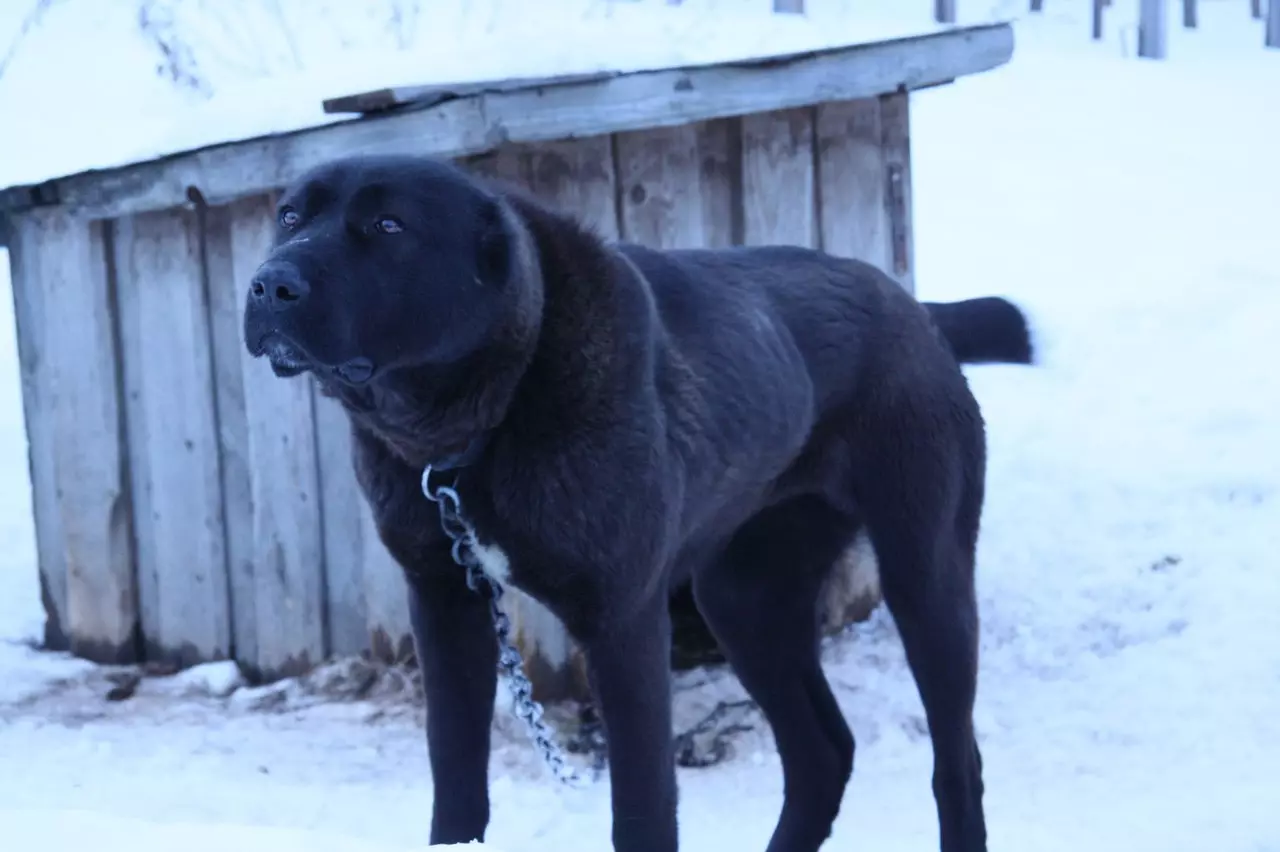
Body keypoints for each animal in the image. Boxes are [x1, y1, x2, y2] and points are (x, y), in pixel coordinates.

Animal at [244, 154, 1034, 849]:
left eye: (388, 226)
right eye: (289, 217)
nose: (268, 285)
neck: (483, 423)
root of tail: (917, 310)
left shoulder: (621, 621)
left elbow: (642, 807)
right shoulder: (445, 602)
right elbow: (457, 781)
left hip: (923, 576)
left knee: (956, 763)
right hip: (744, 599)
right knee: (823, 754)